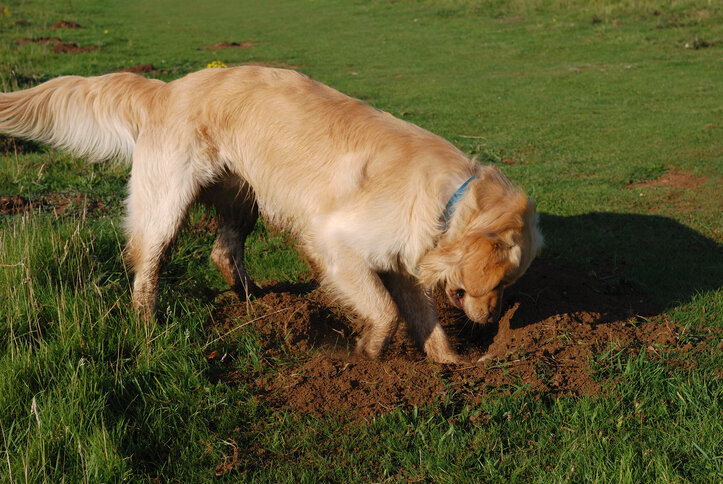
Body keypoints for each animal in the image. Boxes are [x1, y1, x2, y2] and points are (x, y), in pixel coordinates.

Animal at [1, 67, 544, 364]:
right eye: (499, 283)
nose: (493, 320)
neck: (450, 200)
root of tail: (167, 89)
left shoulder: (402, 264)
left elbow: (423, 318)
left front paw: (453, 364)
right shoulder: (335, 244)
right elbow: (386, 312)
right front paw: (367, 356)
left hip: (245, 199)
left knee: (223, 252)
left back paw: (255, 302)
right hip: (167, 205)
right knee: (147, 269)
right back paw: (148, 327)